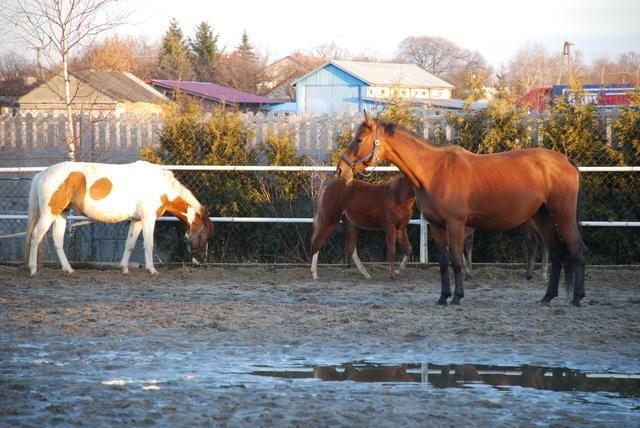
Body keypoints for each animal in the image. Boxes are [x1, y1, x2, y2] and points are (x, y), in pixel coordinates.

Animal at [23, 160, 214, 274]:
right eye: (204, 236)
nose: (201, 260)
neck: (160, 187)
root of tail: (42, 174)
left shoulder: (137, 220)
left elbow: (130, 244)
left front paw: (124, 269)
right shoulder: (148, 219)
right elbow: (148, 244)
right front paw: (152, 270)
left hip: (61, 213)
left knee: (57, 239)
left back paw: (68, 269)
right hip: (49, 213)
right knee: (36, 235)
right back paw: (33, 269)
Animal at [340, 112, 584, 306]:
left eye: (359, 139)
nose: (341, 168)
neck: (434, 171)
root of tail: (566, 161)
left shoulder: (455, 224)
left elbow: (457, 260)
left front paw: (457, 296)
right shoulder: (437, 226)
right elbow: (443, 263)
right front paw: (443, 297)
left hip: (562, 215)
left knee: (575, 248)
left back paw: (577, 297)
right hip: (543, 217)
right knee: (557, 252)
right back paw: (548, 296)